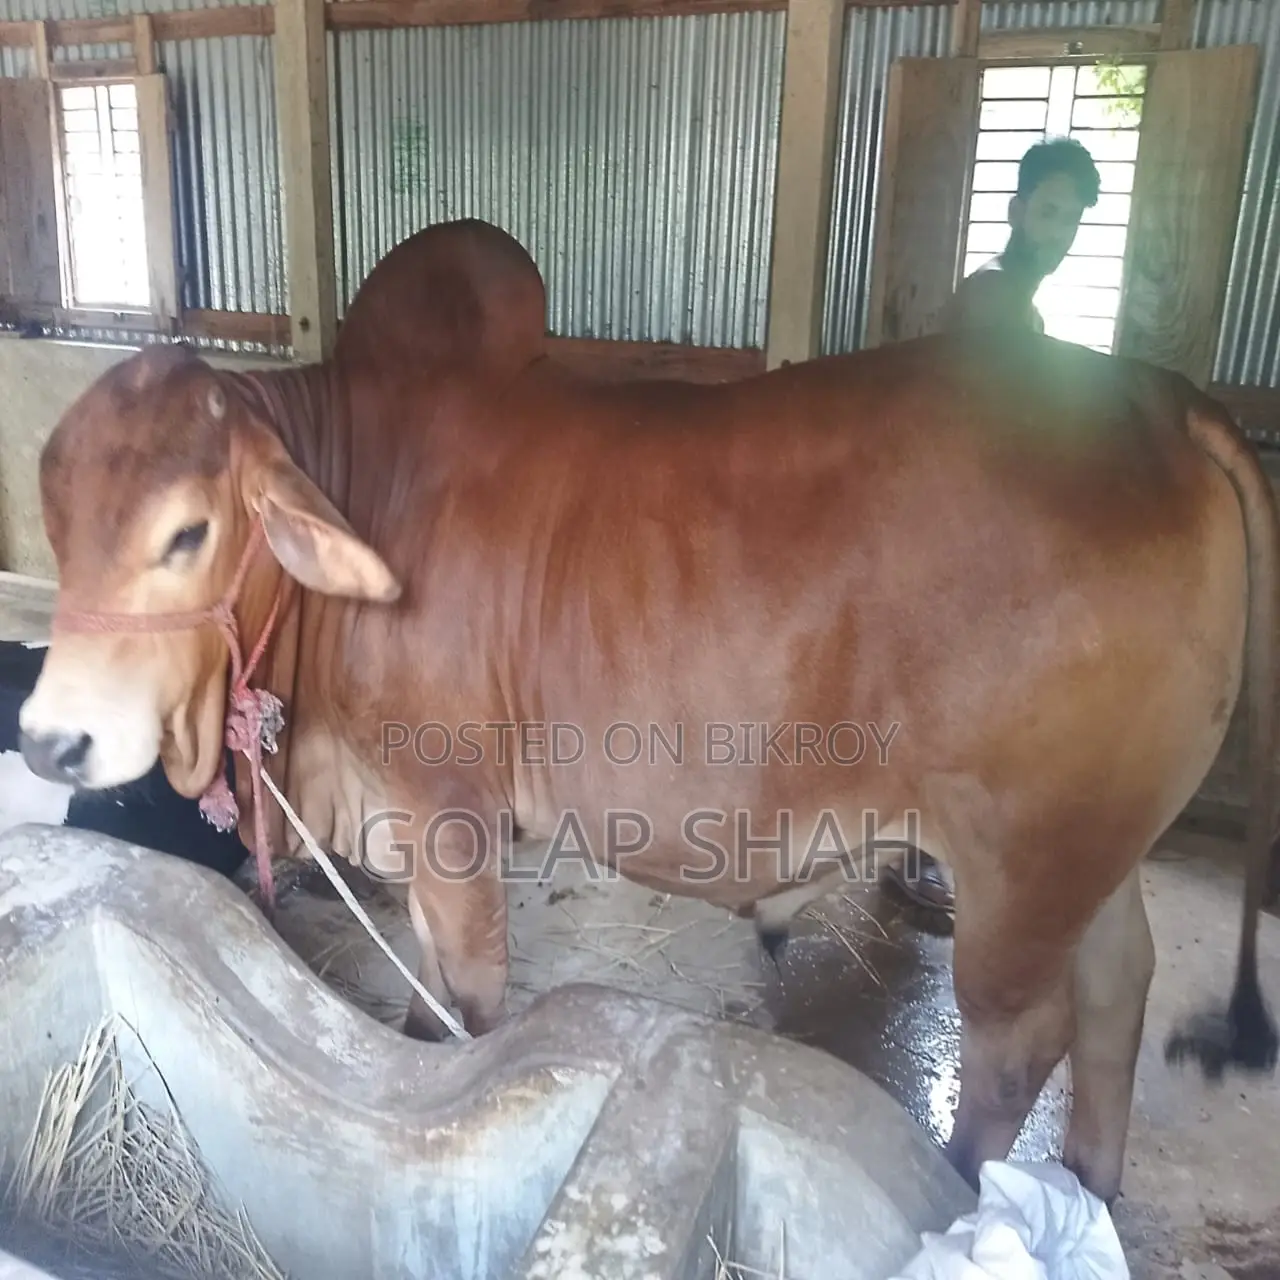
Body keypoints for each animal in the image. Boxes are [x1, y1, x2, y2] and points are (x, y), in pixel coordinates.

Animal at [15, 218, 1278, 1206]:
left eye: (186, 531)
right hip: (1092, 845)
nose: (51, 738)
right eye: (58, 522)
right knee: (1115, 989)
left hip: (1017, 861)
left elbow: (465, 988)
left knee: (1018, 1045)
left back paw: (964, 1191)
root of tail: (1156, 401)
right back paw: (1089, 1186)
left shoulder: (446, 807)